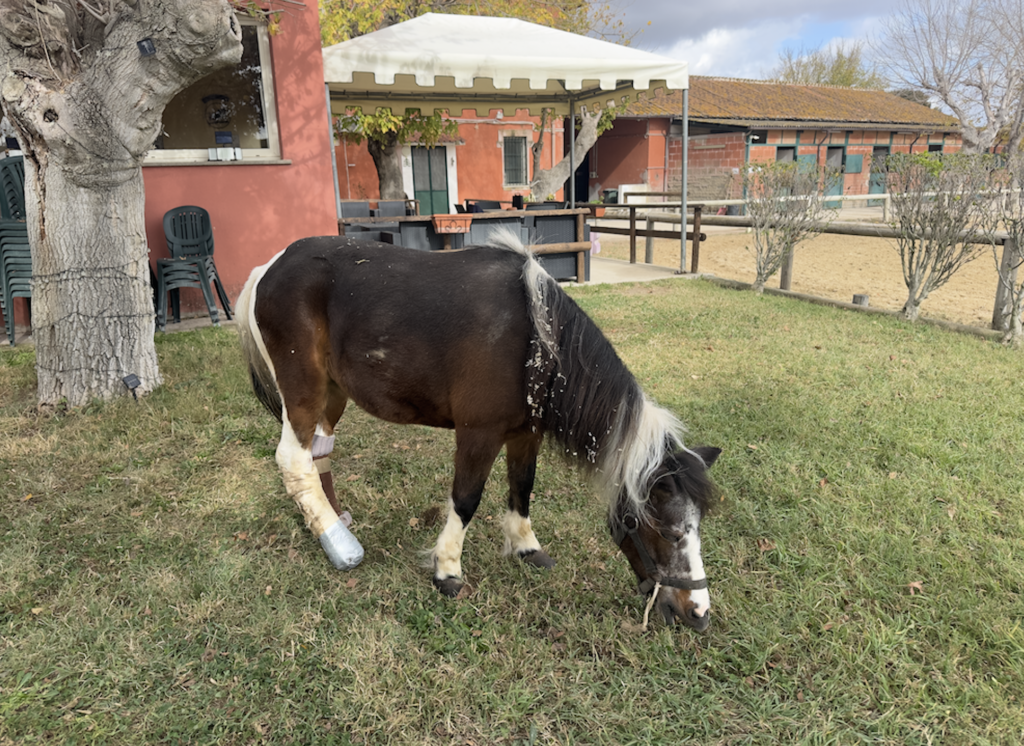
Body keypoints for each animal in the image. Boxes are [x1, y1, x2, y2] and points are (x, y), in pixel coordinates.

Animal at [236, 232, 721, 630]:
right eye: (672, 532)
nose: (699, 614)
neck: (535, 339)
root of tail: (269, 266)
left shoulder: (526, 433)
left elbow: (522, 487)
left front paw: (526, 547)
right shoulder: (478, 434)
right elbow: (466, 500)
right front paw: (447, 570)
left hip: (333, 391)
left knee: (319, 453)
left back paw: (332, 522)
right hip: (304, 387)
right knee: (294, 458)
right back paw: (337, 543)